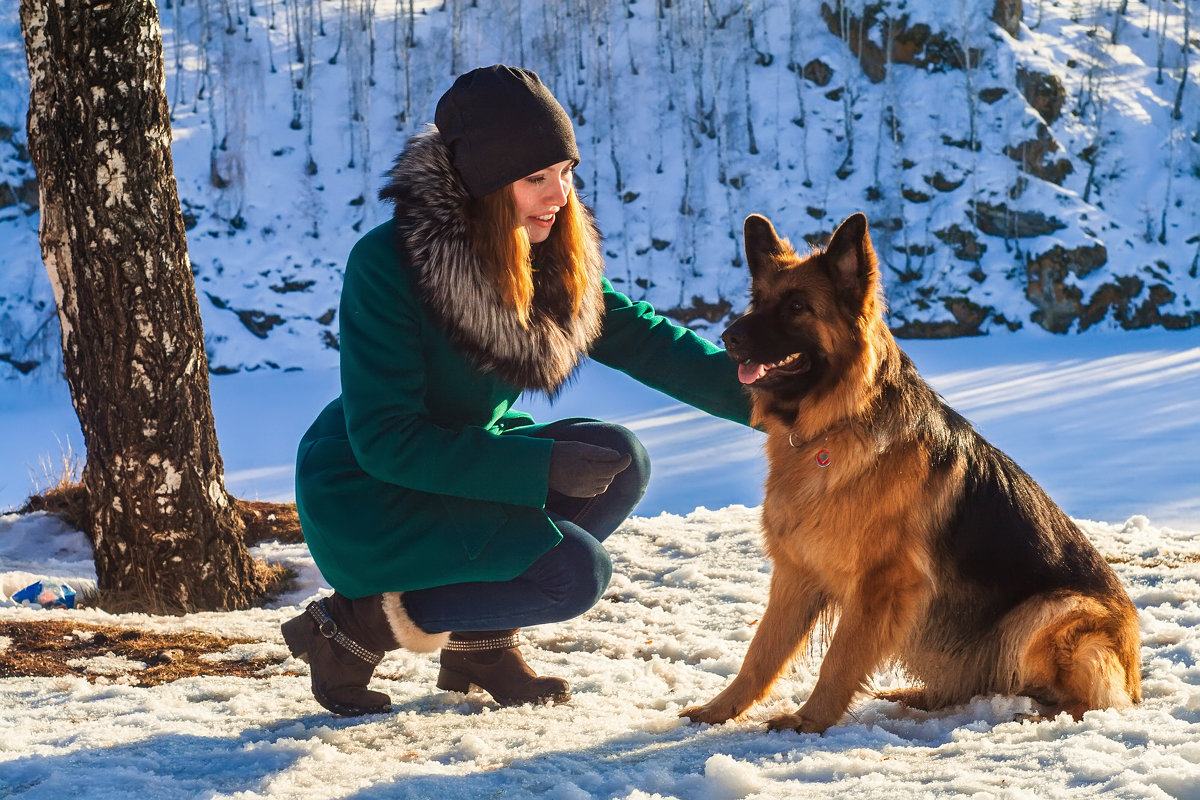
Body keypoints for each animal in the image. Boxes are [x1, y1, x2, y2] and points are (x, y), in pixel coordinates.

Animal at [686, 214, 1142, 738]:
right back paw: (917, 696)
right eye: (758, 302)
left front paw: (811, 719)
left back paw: (1038, 714)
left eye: (797, 307)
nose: (728, 337)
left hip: (1050, 612)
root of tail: (1135, 671)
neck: (834, 425)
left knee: (1095, 702)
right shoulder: (795, 574)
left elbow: (839, 659)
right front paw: (721, 709)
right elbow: (760, 652)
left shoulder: (880, 585)